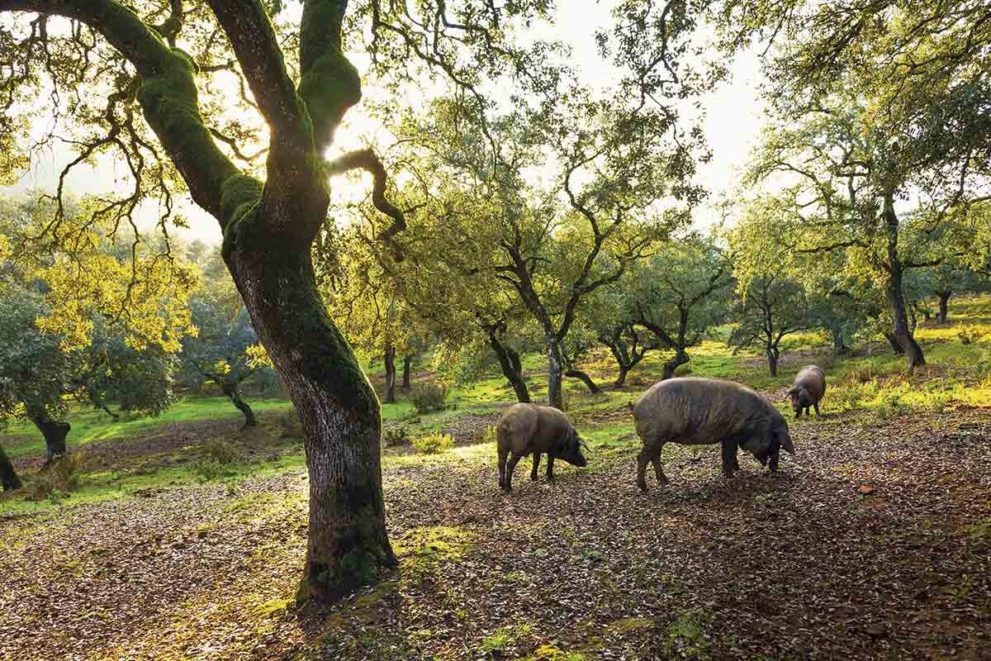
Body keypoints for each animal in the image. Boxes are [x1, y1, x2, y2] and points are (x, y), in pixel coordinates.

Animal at [636, 376, 800, 490]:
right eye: (775, 442)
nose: (775, 468)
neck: (755, 421)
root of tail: (637, 404)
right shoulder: (731, 435)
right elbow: (728, 454)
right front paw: (731, 476)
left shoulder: (728, 437)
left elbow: (730, 454)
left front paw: (737, 469)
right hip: (654, 436)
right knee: (642, 458)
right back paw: (644, 488)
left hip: (657, 439)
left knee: (655, 457)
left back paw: (665, 481)